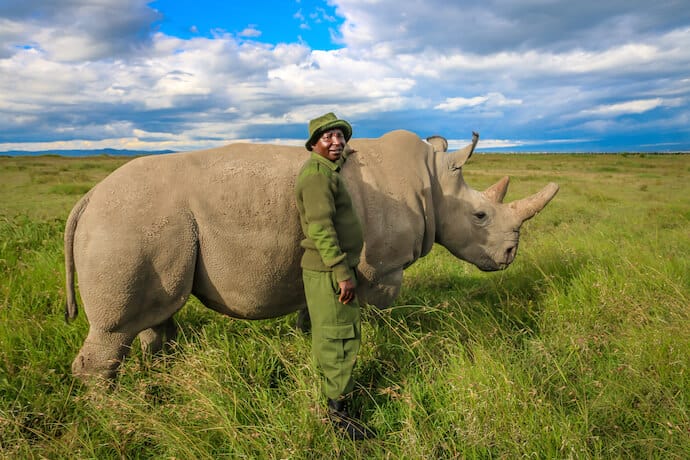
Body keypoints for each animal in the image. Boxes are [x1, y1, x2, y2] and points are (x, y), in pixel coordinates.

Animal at [64, 128, 556, 378]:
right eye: (480, 216)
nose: (509, 255)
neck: (433, 183)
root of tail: (87, 198)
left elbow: (312, 311)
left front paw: (308, 342)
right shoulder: (381, 267)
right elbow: (373, 313)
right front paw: (377, 347)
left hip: (150, 224)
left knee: (158, 311)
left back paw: (157, 380)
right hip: (127, 221)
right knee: (117, 328)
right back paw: (107, 413)